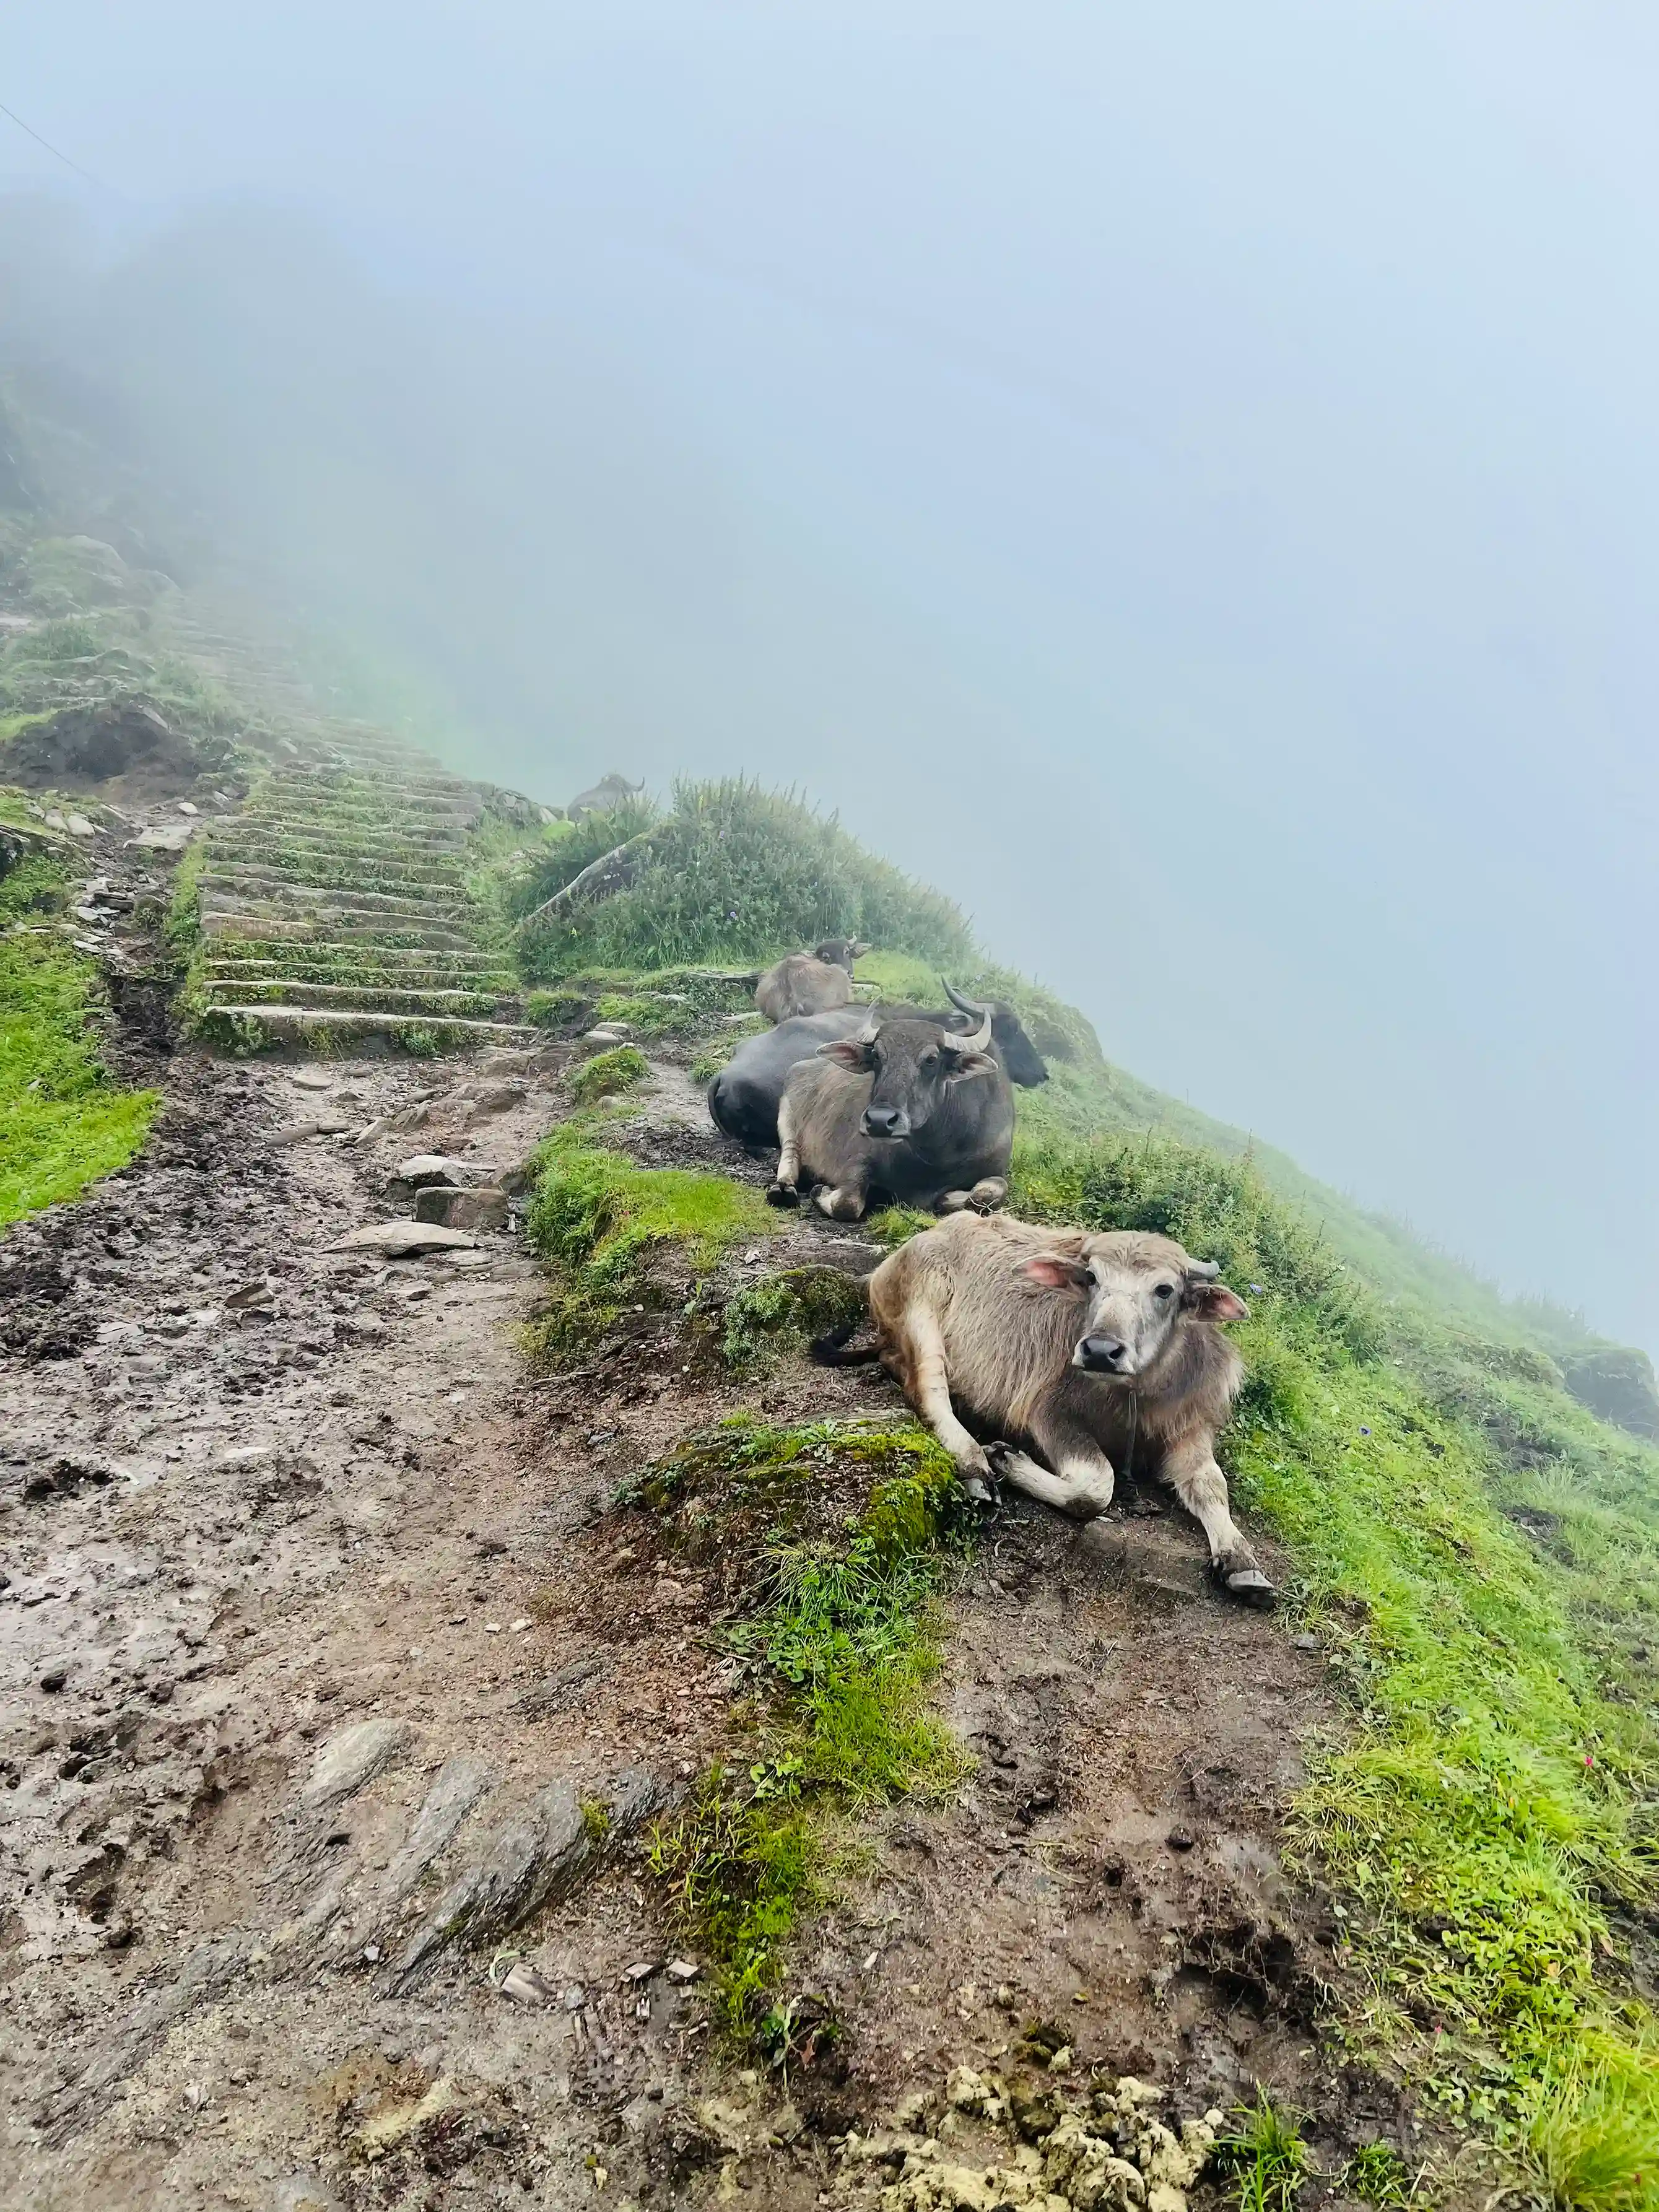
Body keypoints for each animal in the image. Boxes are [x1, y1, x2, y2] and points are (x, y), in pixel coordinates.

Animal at [765, 1008, 1012, 1221]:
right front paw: (820, 1190)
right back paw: (784, 1189)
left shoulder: (996, 1168)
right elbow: (847, 1203)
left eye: (931, 1059)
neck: (935, 1156)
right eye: (876, 1055)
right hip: (788, 1118)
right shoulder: (855, 1163)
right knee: (790, 1154)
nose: (879, 1121)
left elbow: (987, 1195)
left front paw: (949, 1197)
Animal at [818, 1212, 1274, 1610]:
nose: (1100, 1351)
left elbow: (1211, 1486)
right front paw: (1007, 1458)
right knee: (928, 1389)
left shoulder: (1188, 1429)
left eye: (1165, 1290)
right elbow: (1096, 1486)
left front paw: (1242, 1563)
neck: (1135, 1398)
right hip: (922, 1309)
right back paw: (975, 1464)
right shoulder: (1049, 1414)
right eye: (1091, 1278)